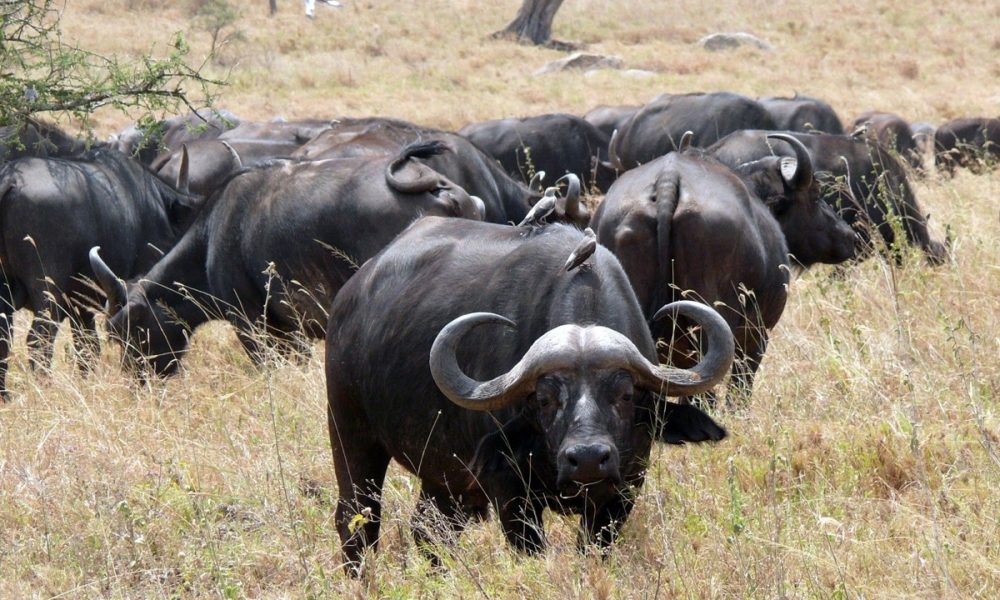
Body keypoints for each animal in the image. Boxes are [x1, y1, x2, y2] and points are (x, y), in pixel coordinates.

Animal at [325, 216, 734, 573]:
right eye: (545, 400)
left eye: (626, 395)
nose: (588, 459)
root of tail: (350, 298)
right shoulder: (510, 492)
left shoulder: (623, 490)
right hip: (350, 431)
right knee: (357, 520)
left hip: (443, 475)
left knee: (429, 531)